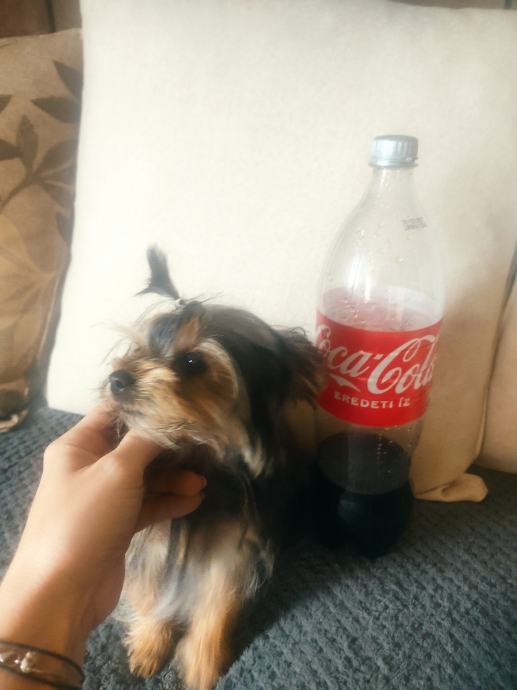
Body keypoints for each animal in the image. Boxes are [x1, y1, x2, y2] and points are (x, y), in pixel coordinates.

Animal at [105, 248, 324, 690]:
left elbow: (218, 606)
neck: (200, 455)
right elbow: (153, 592)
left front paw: (204, 666)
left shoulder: (233, 554)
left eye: (192, 361)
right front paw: (150, 645)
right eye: (137, 350)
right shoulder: (154, 539)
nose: (117, 379)